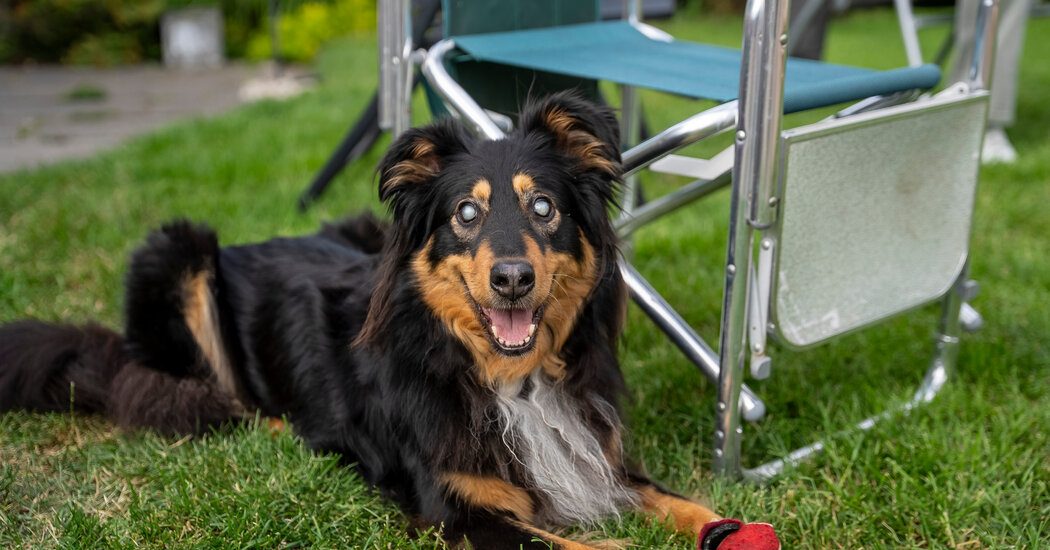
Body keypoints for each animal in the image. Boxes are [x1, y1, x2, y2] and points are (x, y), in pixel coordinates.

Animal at [0, 92, 722, 545]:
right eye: (466, 213)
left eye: (543, 206)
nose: (513, 280)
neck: (505, 379)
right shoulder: (454, 507)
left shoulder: (597, 459)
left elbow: (687, 504)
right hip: (178, 255)